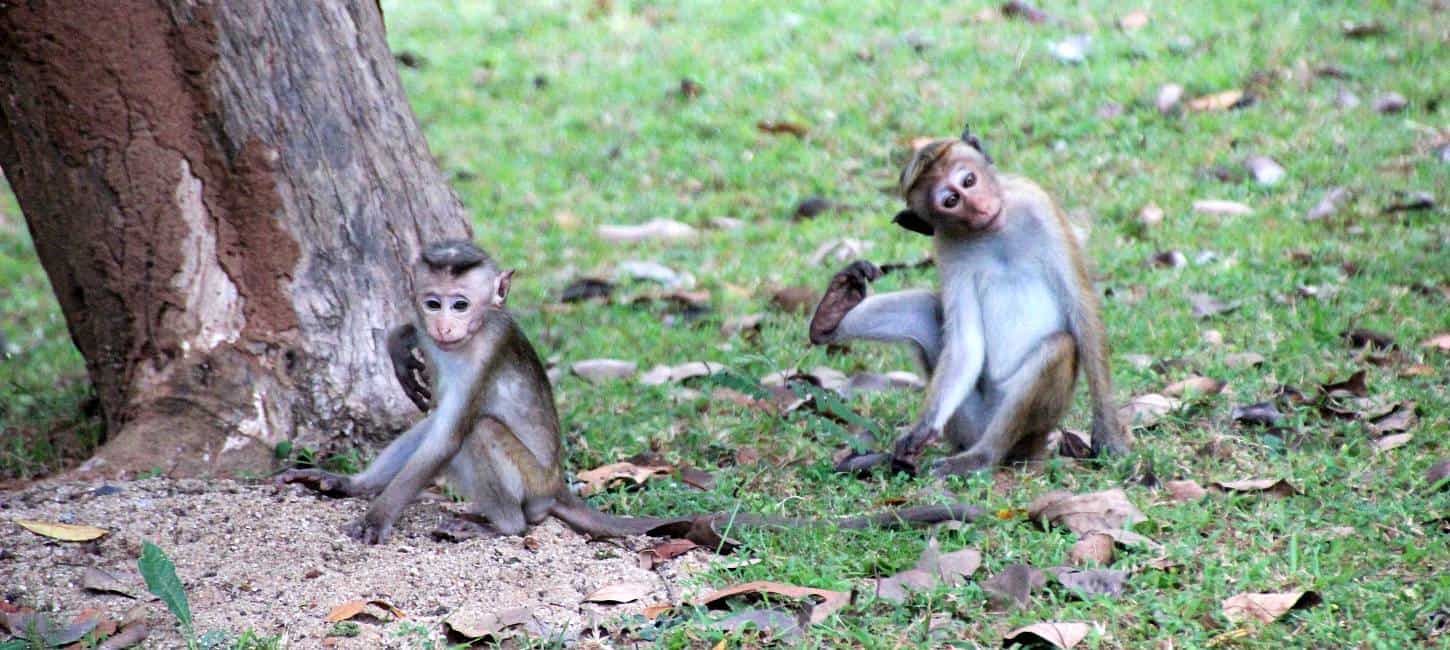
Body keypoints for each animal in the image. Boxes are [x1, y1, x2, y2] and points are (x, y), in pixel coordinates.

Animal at [278, 240, 981, 544]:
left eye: (461, 302)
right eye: (433, 301)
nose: (443, 324)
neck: (463, 341)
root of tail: (559, 487)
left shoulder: (484, 352)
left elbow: (452, 431)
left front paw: (379, 515)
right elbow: (431, 421)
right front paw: (355, 485)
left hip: (533, 481)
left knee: (478, 433)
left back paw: (501, 525)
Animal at [807, 126, 1127, 477]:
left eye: (968, 181)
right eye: (951, 201)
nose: (980, 206)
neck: (995, 230)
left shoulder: (1039, 205)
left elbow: (1082, 311)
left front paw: (1108, 435)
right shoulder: (947, 246)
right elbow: (965, 344)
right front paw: (922, 427)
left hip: (1027, 433)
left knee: (1060, 346)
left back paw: (984, 456)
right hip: (965, 422)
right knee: (926, 309)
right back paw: (830, 315)